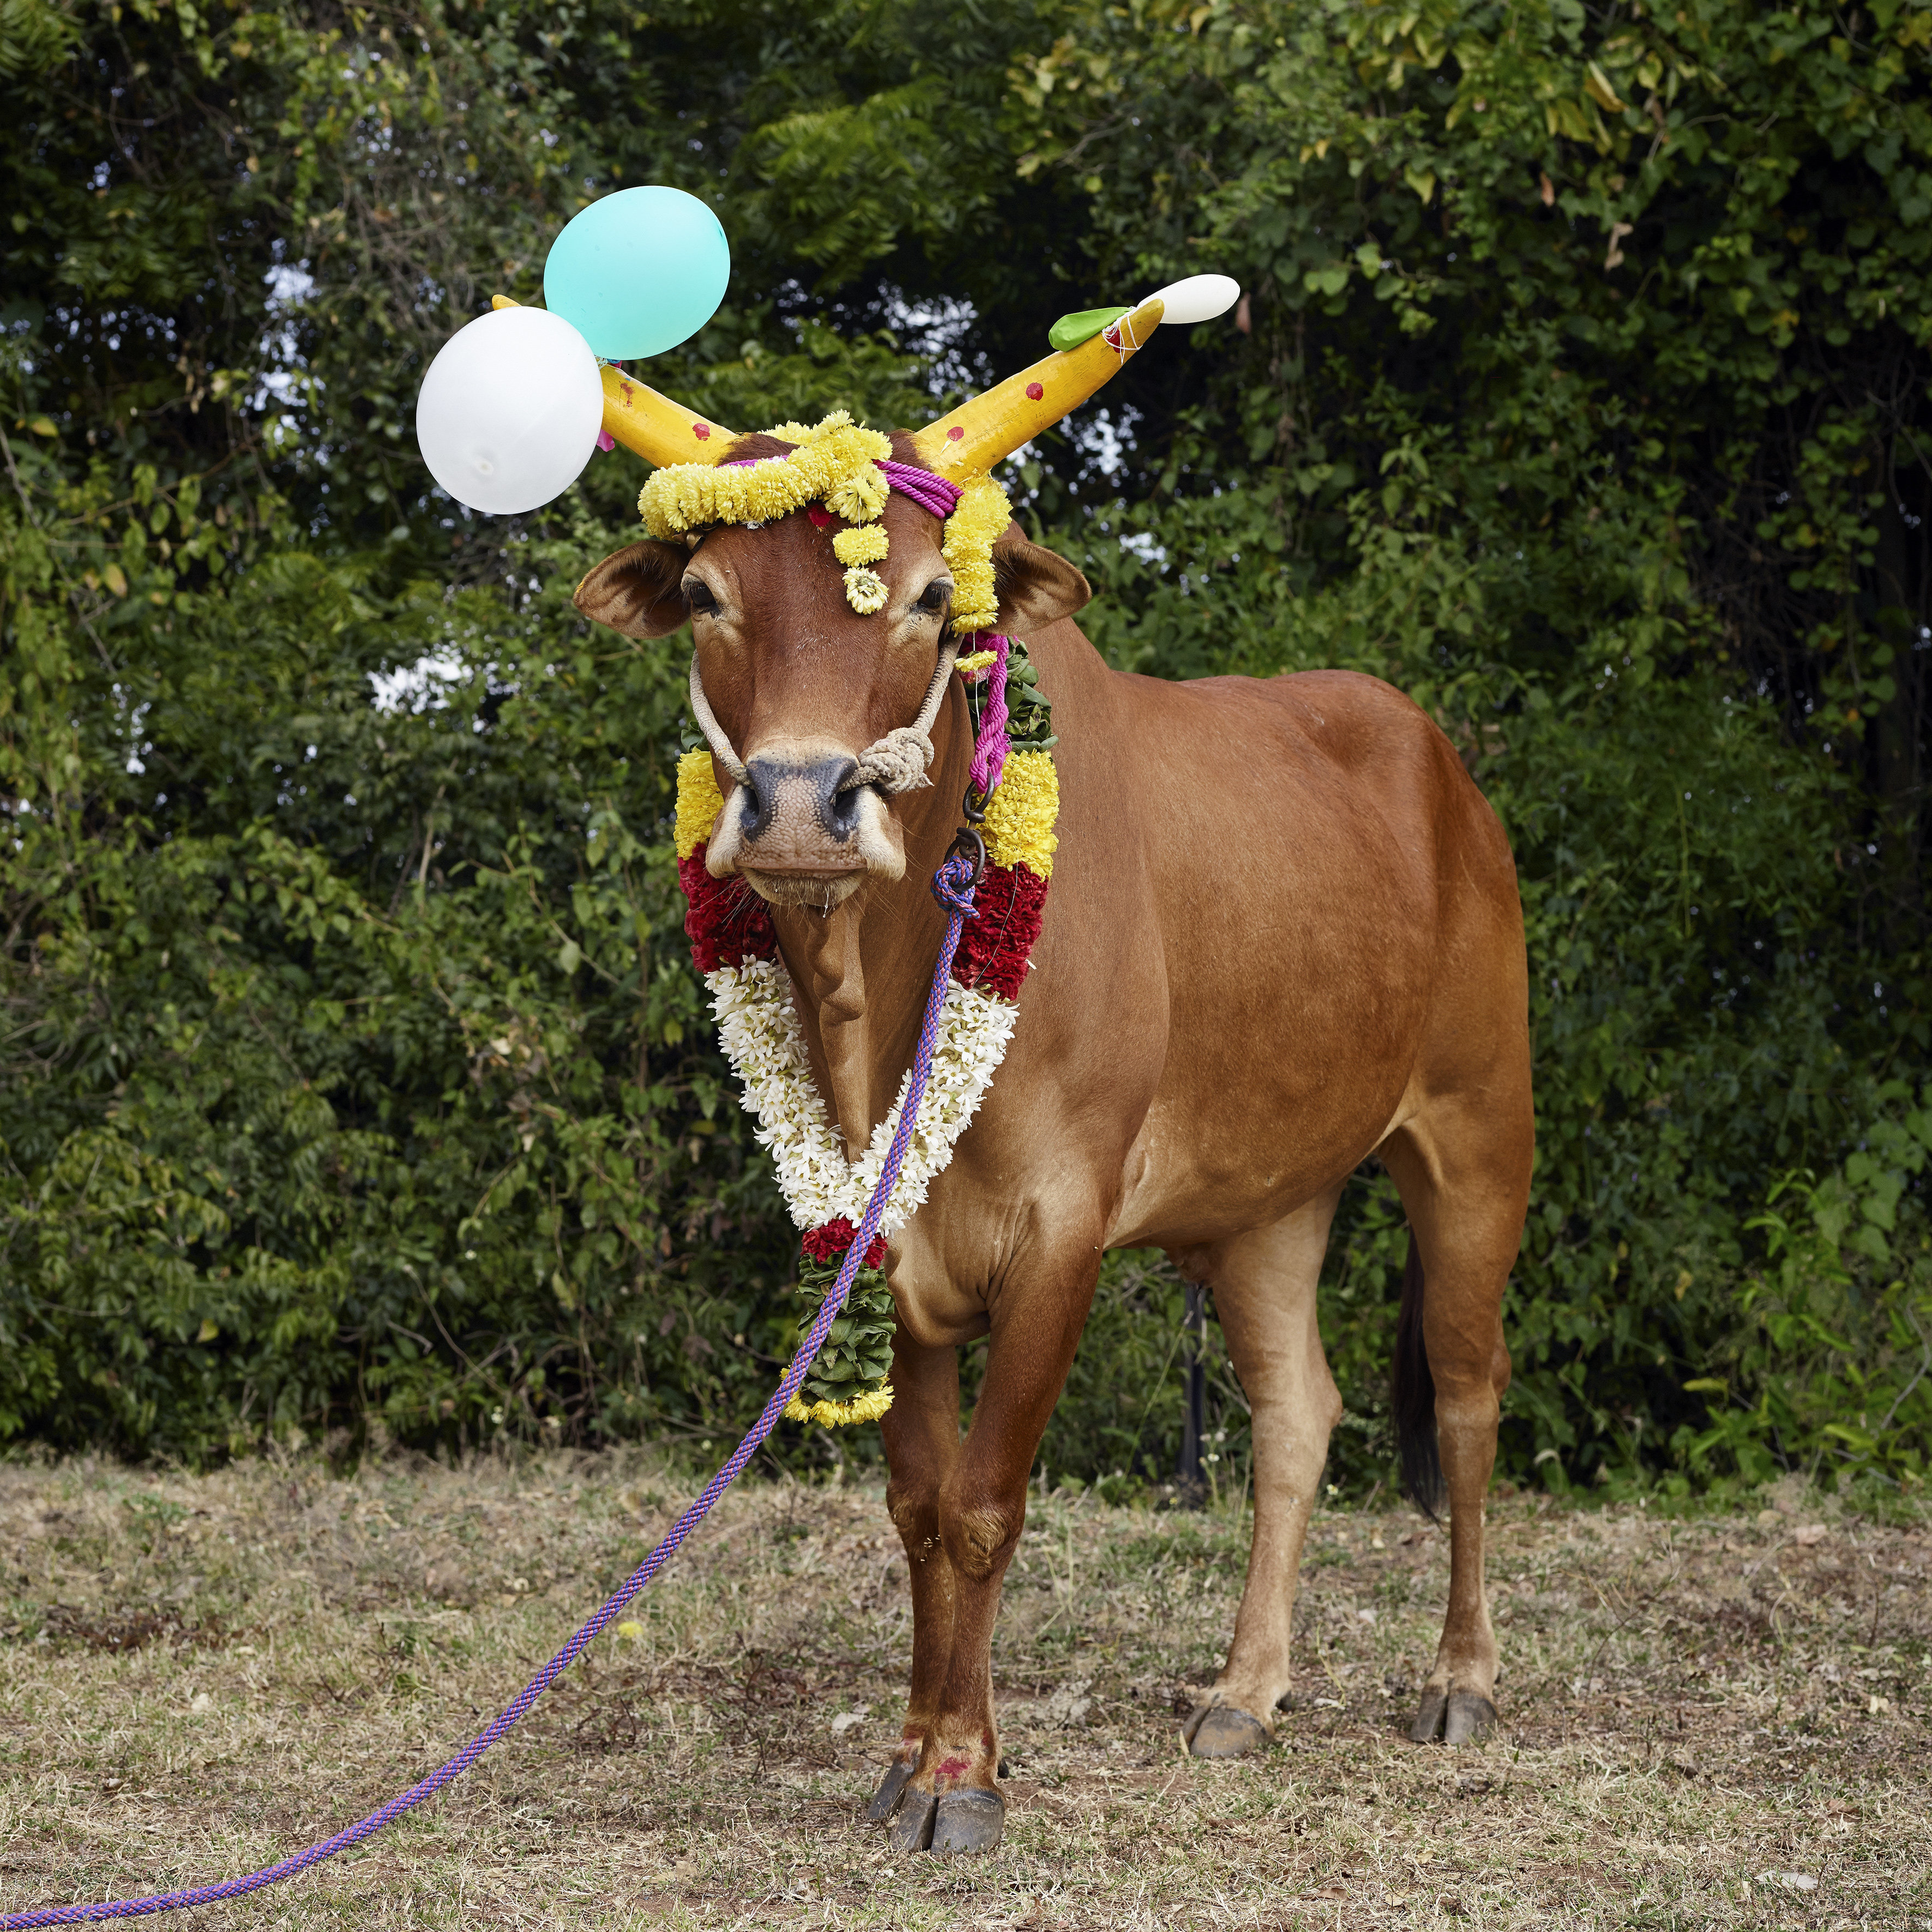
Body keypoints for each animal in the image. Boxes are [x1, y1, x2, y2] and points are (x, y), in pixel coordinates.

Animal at [564, 317, 1530, 1855]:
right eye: (708, 593)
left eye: (923, 598)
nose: (797, 806)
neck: (875, 1006)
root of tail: (1438, 767)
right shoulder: (893, 1245)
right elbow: (914, 1501)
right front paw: (914, 1749)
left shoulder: (1062, 1228)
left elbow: (982, 1501)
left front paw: (963, 1774)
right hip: (1269, 1199)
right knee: (1295, 1414)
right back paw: (1245, 1691)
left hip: (1477, 1137)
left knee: (1466, 1394)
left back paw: (1462, 1678)